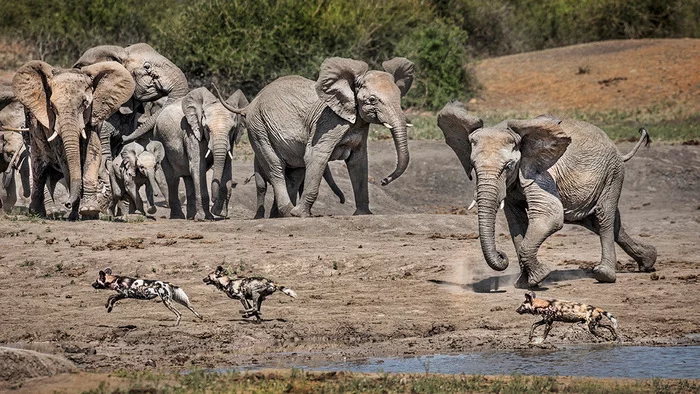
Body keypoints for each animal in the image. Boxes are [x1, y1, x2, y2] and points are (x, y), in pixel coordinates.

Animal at [12, 59, 135, 219]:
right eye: (51, 107)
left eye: (85, 103)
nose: (67, 203)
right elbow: (65, 159)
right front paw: (77, 213)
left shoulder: (94, 116)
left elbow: (93, 151)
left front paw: (89, 211)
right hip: (33, 136)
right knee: (39, 169)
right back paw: (38, 213)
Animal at [154, 87, 247, 220]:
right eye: (207, 128)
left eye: (232, 129)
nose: (214, 199)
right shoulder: (191, 132)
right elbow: (199, 167)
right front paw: (205, 218)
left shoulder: (231, 141)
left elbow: (227, 167)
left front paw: (219, 213)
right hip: (160, 138)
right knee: (172, 178)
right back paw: (178, 217)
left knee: (188, 177)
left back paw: (190, 217)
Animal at [219, 56, 412, 215]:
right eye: (372, 100)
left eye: (399, 97)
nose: (384, 181)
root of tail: (249, 105)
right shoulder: (327, 124)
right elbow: (315, 156)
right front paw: (301, 215)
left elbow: (358, 162)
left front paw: (364, 214)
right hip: (259, 128)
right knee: (275, 167)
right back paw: (290, 212)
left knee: (294, 173)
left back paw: (282, 214)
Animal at [438, 101, 656, 286]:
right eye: (473, 166)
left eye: (508, 166)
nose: (501, 255)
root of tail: (618, 151)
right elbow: (517, 223)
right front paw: (525, 283)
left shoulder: (541, 173)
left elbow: (549, 216)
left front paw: (540, 277)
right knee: (597, 221)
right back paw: (649, 261)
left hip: (613, 172)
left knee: (603, 215)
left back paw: (605, 275)